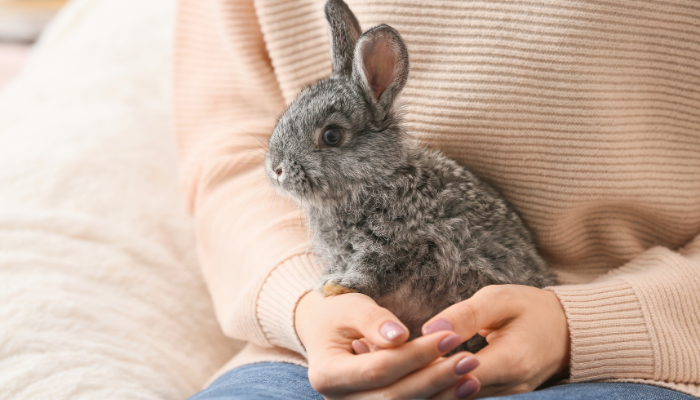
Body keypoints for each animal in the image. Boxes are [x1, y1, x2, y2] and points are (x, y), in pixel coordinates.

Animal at [262, 0, 552, 350]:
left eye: (331, 136)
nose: (276, 169)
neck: (371, 181)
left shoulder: (398, 246)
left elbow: (371, 274)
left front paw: (336, 287)